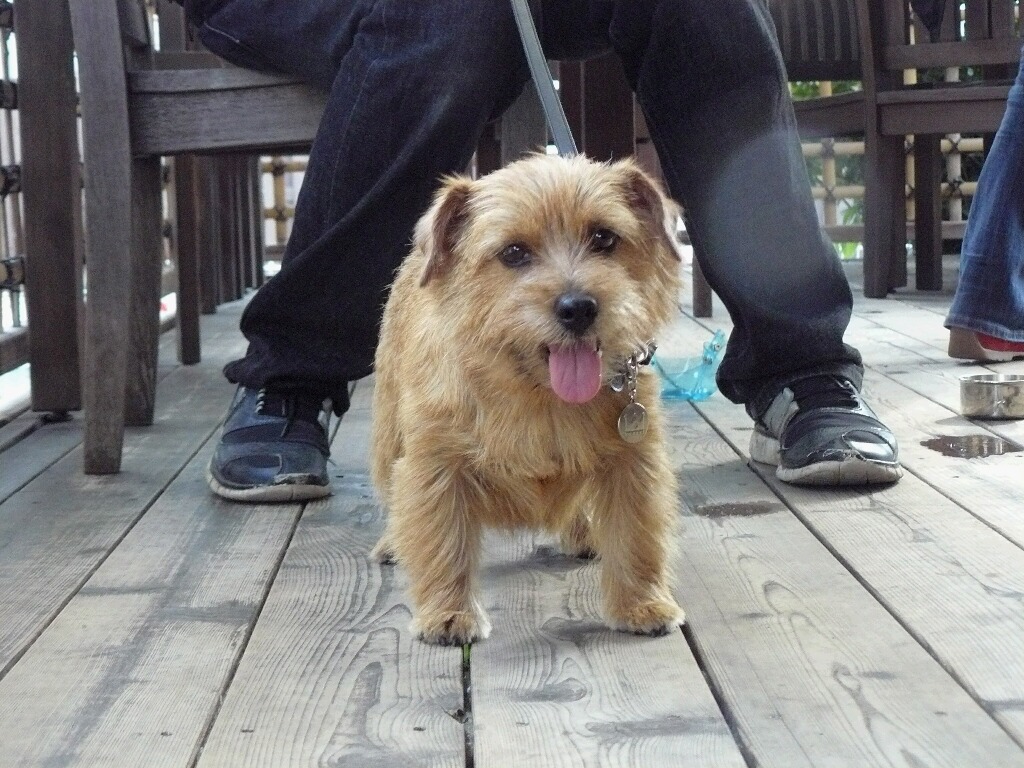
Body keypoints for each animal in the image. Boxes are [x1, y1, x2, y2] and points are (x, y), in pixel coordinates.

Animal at [370, 153, 685, 645]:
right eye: (514, 252)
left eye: (604, 237)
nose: (578, 307)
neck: (540, 395)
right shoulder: (436, 465)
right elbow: (441, 538)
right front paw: (448, 612)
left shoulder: (634, 462)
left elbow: (638, 536)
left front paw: (642, 603)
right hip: (389, 437)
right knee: (394, 497)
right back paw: (392, 542)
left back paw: (583, 534)